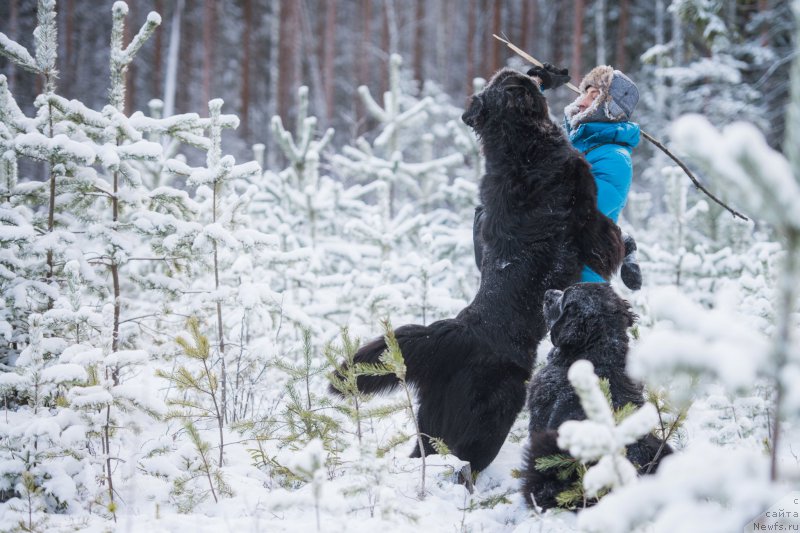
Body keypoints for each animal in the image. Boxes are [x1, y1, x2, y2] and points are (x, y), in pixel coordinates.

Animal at [330, 67, 624, 474]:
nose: (535, 72)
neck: (520, 147)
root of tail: (461, 331)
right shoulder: (586, 210)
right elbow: (607, 239)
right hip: (491, 419)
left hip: (433, 419)